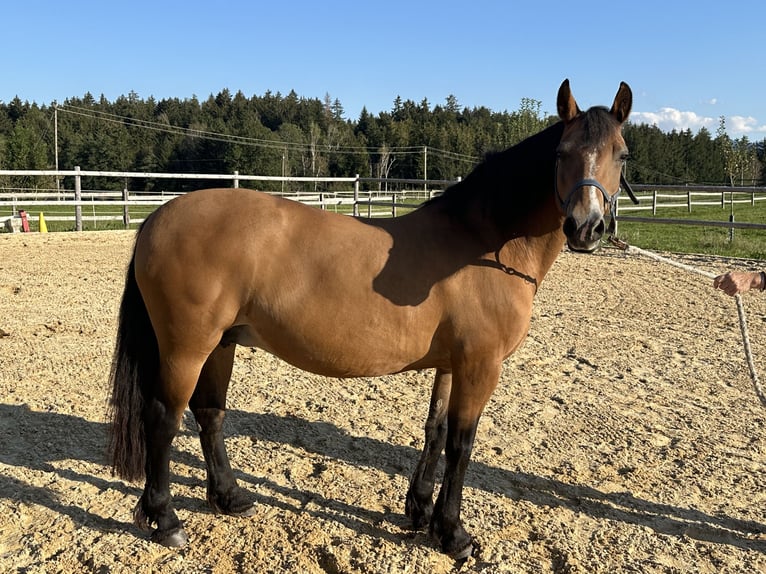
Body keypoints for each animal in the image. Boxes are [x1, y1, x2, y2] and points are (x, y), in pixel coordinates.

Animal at [108, 79, 636, 560]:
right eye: (562, 151)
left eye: (622, 155)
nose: (587, 227)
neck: (483, 245)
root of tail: (158, 217)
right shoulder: (481, 365)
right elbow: (462, 445)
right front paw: (454, 534)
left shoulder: (453, 364)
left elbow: (436, 431)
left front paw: (420, 512)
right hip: (187, 348)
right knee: (162, 419)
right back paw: (166, 519)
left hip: (222, 343)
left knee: (210, 415)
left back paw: (229, 497)